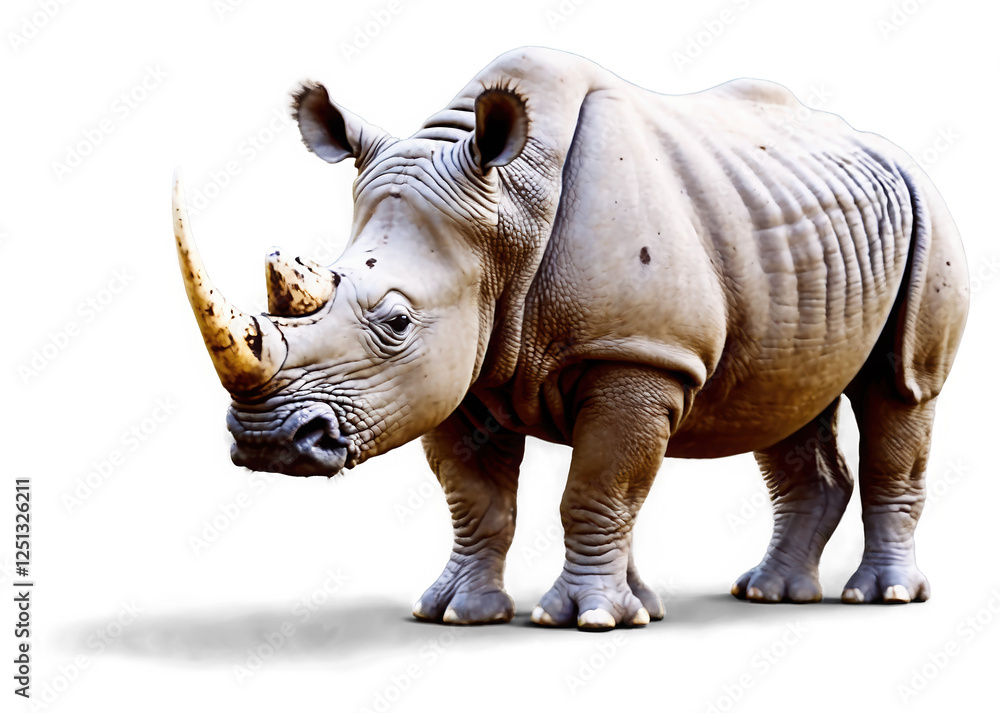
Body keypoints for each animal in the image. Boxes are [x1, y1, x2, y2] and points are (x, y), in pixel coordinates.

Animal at [173, 47, 969, 631]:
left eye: (395, 321)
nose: (267, 441)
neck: (504, 217)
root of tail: (889, 149)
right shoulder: (463, 365)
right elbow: (479, 497)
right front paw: (457, 613)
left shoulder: (636, 354)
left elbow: (596, 487)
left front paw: (588, 619)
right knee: (784, 397)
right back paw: (767, 594)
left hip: (932, 212)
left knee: (900, 390)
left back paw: (882, 598)